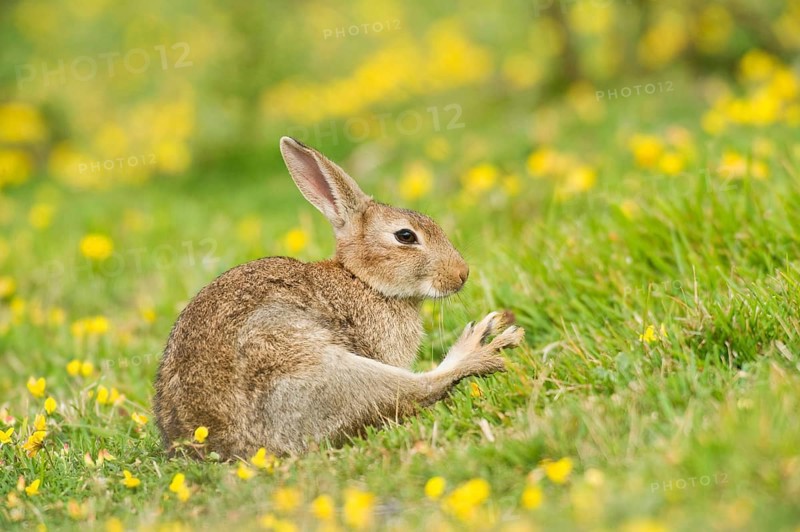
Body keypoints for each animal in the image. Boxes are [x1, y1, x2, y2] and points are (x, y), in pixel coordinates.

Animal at [153, 136, 525, 459]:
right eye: (405, 236)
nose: (462, 273)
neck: (362, 280)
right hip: (326, 371)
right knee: (418, 390)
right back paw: (483, 346)